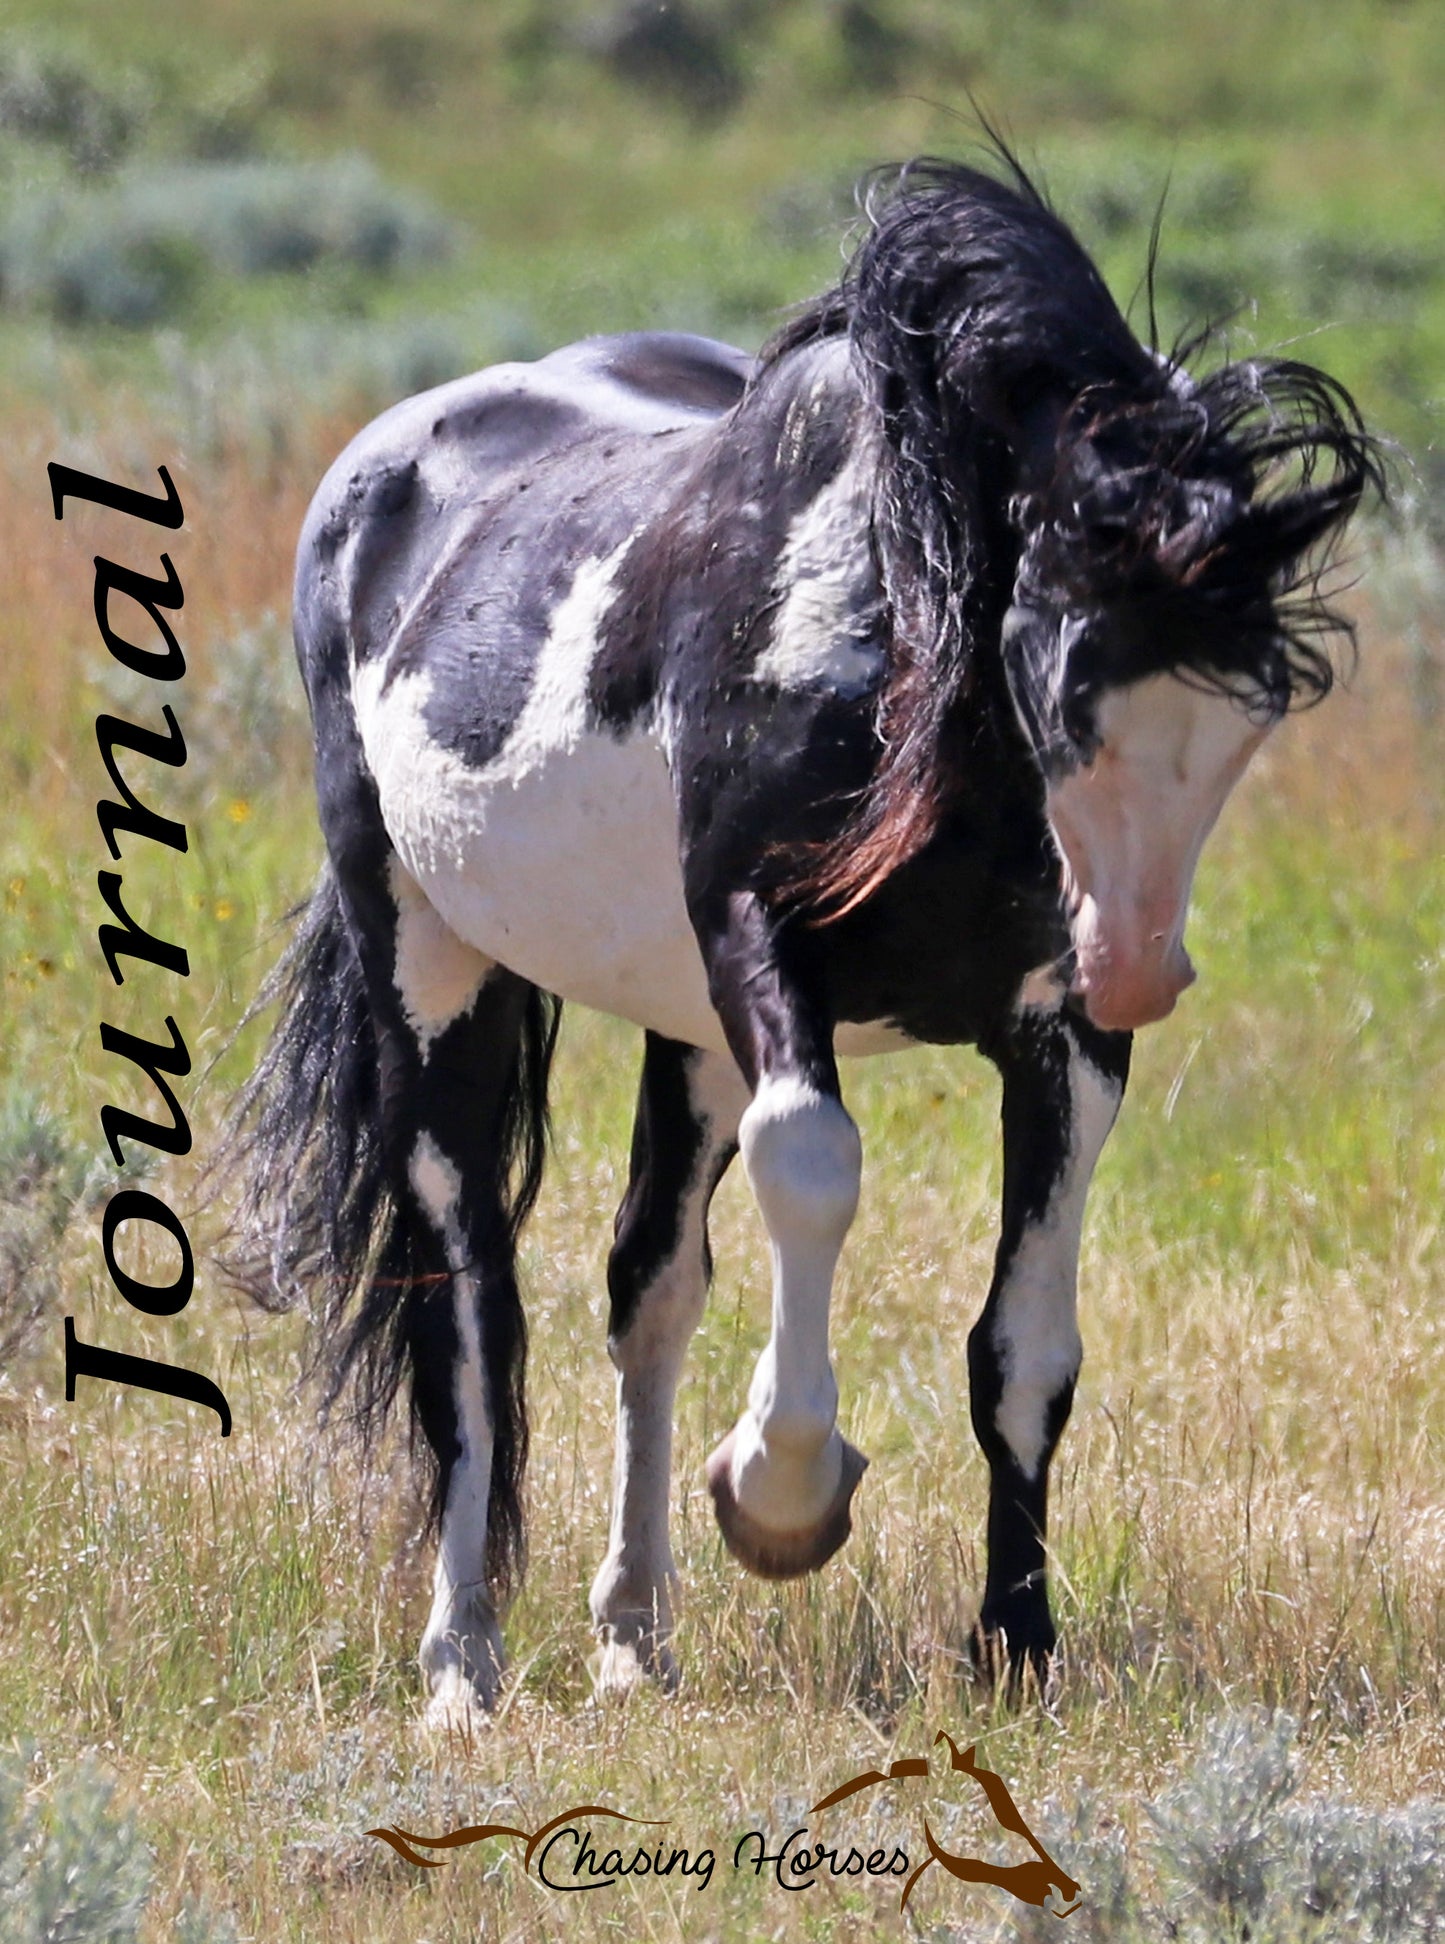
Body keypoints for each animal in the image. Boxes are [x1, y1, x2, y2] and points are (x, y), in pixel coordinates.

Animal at [228, 152, 1376, 1724]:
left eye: (1254, 708)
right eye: (1067, 666)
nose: (1138, 964)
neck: (887, 638)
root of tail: (378, 473)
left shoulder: (1057, 1040)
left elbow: (1024, 1348)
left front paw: (1016, 1645)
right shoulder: (759, 946)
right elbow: (814, 1168)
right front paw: (780, 1497)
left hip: (682, 1031)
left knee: (646, 1290)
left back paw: (633, 1638)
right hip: (431, 966)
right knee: (469, 1299)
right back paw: (463, 1663)